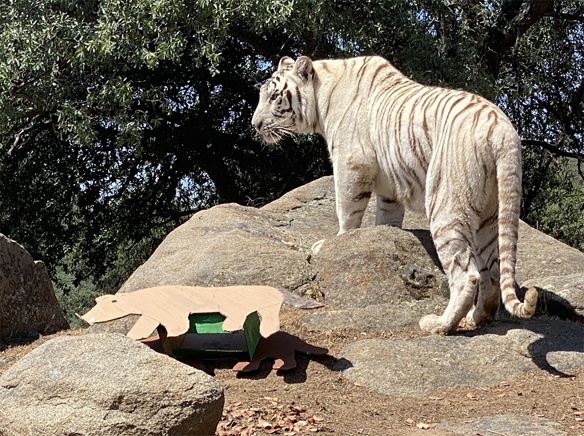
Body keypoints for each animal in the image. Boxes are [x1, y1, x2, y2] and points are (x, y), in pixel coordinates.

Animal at [251, 55, 540, 334]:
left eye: (274, 97)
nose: (255, 125)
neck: (323, 96)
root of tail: (502, 129)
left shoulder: (351, 163)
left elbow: (347, 210)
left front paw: (332, 243)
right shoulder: (389, 186)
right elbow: (387, 218)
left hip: (446, 202)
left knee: (466, 274)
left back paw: (440, 325)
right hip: (489, 214)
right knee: (492, 271)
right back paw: (476, 318)